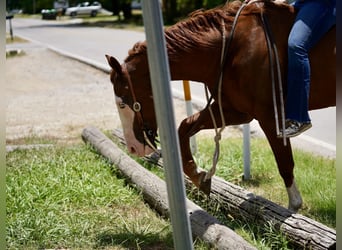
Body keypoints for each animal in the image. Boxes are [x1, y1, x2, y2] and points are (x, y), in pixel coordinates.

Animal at [105, 0, 336, 211]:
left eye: (122, 103)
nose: (133, 147)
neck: (234, 47)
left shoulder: (270, 117)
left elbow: (285, 164)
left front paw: (293, 209)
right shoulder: (234, 110)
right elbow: (184, 127)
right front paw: (199, 176)